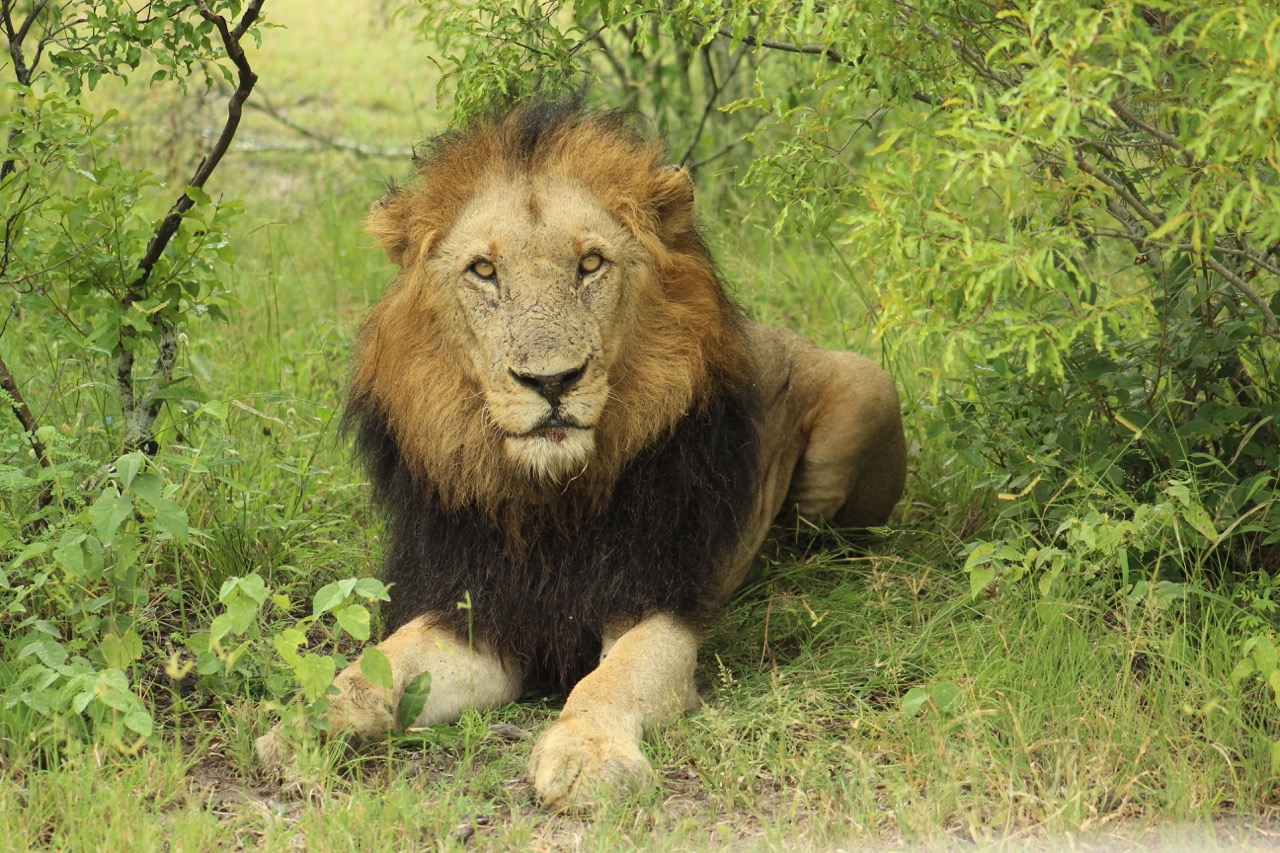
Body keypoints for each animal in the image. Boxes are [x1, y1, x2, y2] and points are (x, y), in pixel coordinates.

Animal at [256, 99, 906, 809]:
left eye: (591, 264)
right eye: (484, 271)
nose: (551, 381)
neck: (550, 502)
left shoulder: (656, 600)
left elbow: (611, 680)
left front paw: (586, 756)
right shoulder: (478, 611)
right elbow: (377, 667)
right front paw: (306, 727)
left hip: (871, 388)